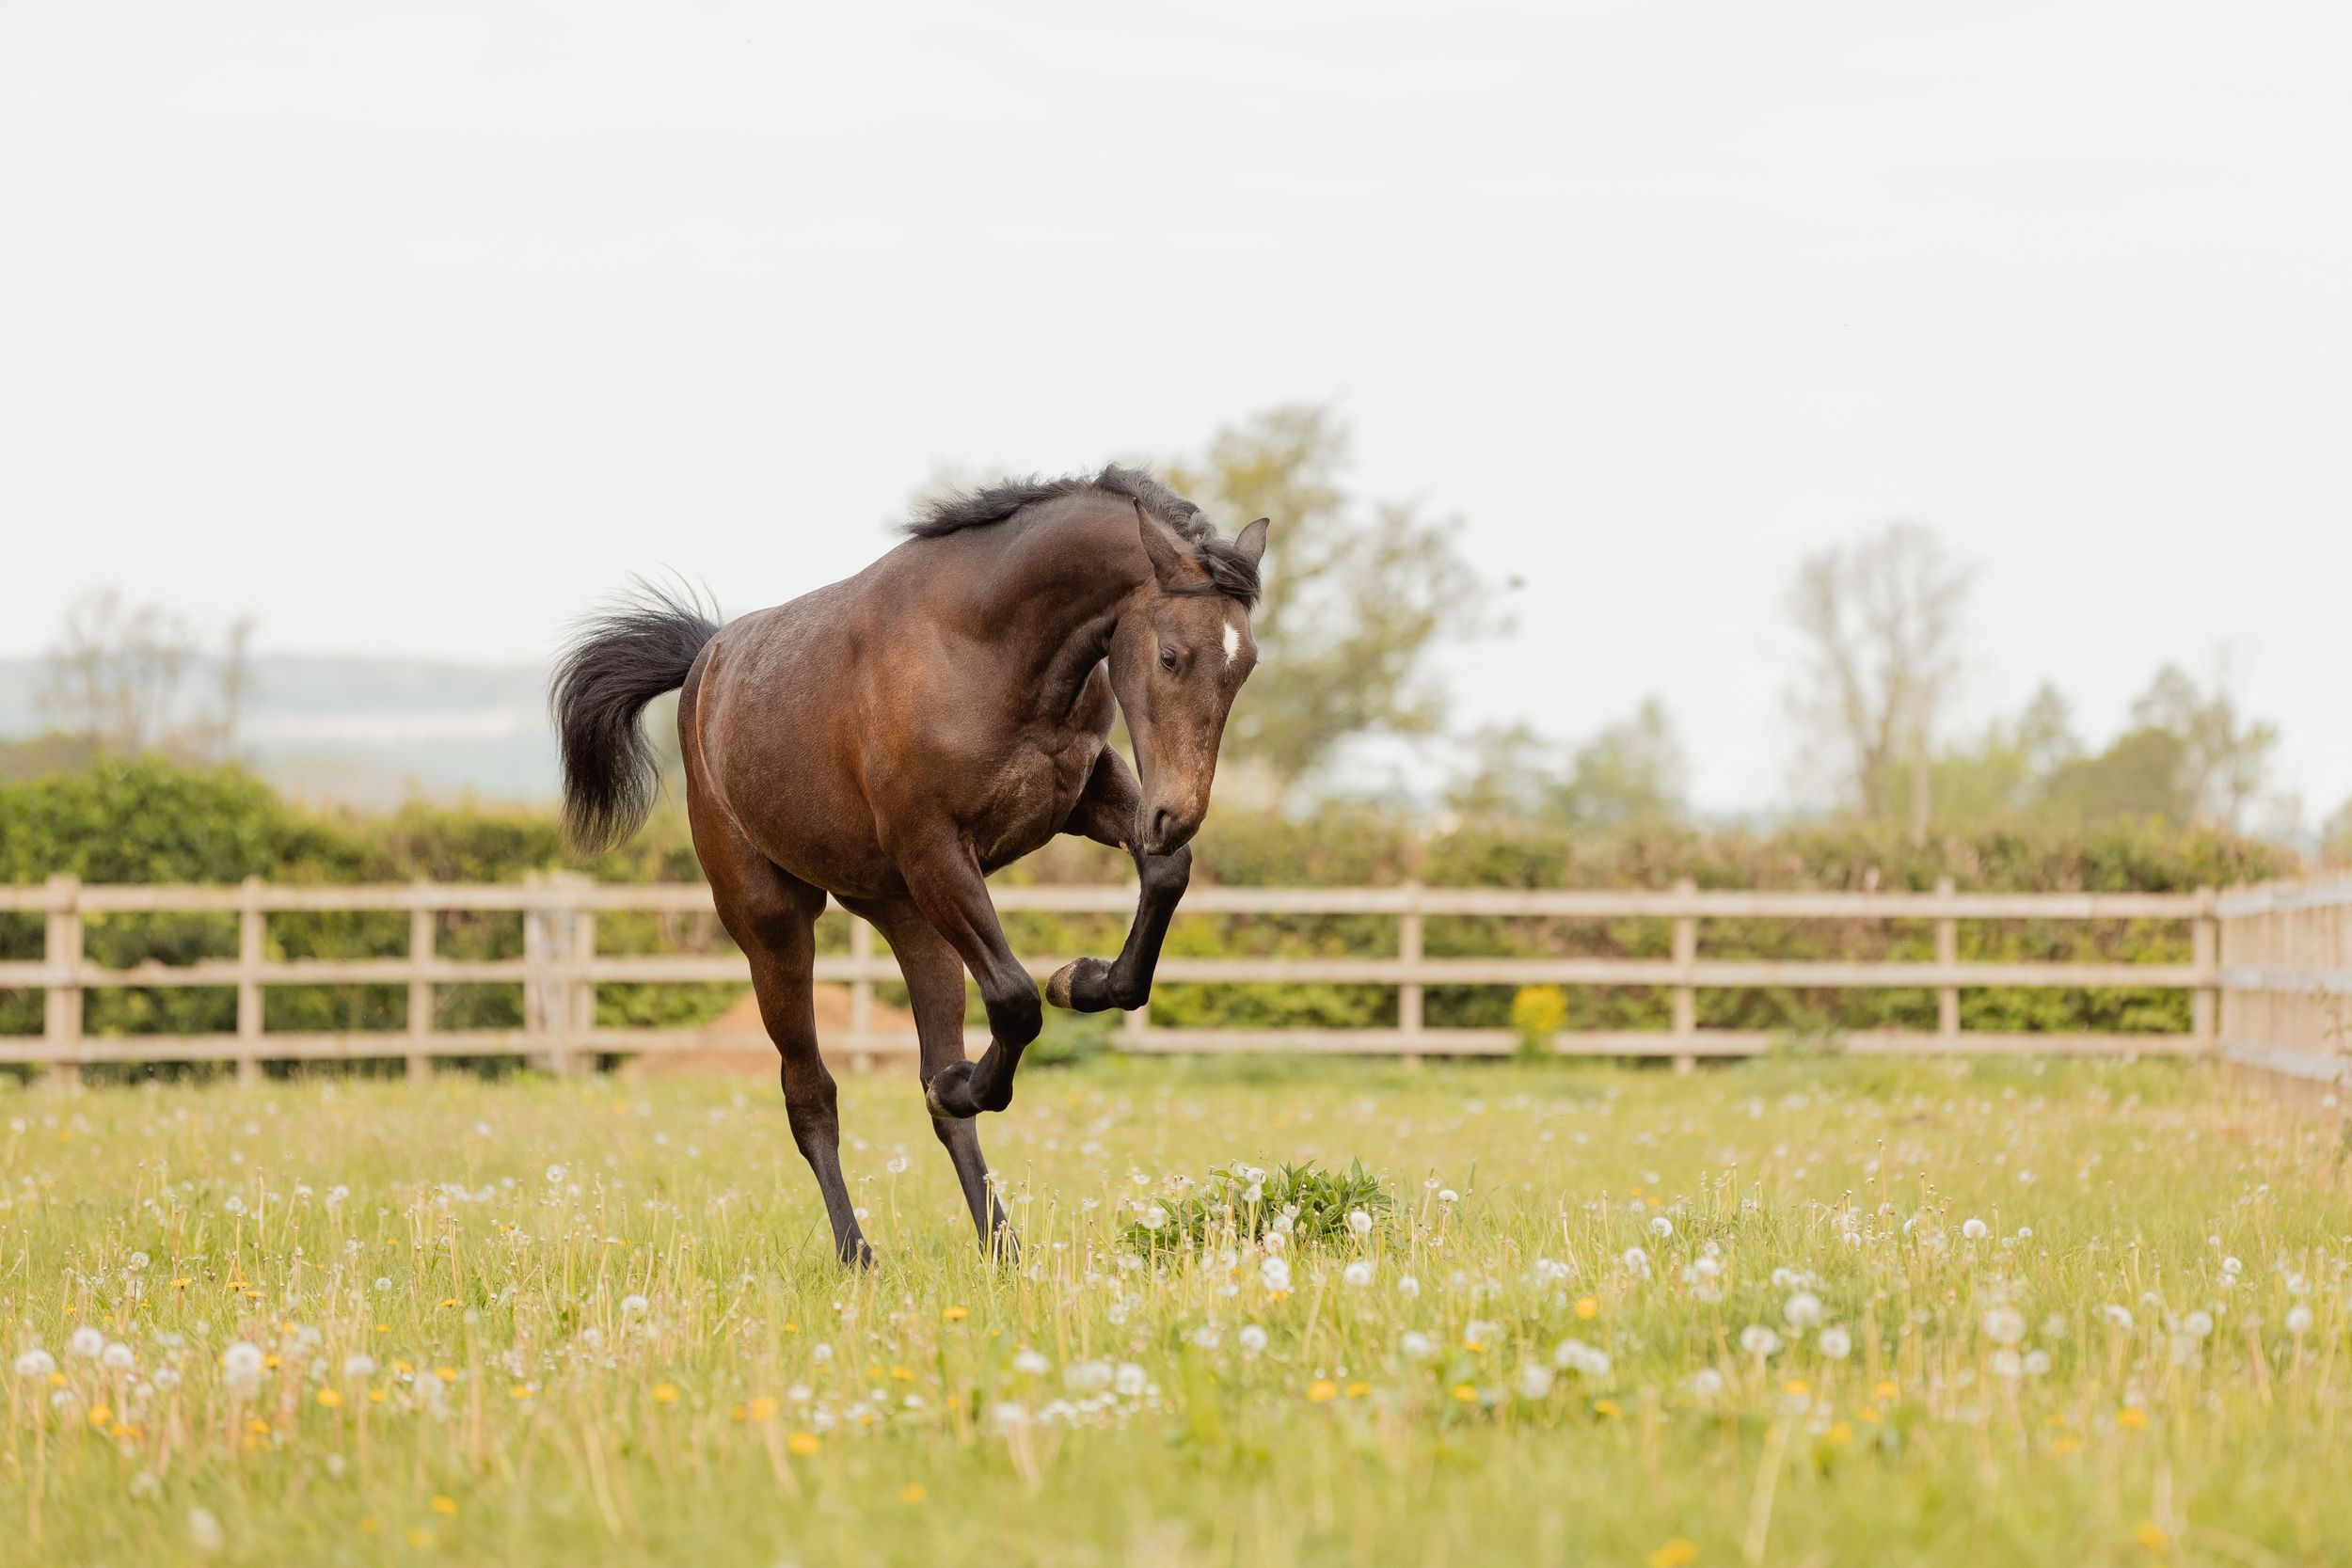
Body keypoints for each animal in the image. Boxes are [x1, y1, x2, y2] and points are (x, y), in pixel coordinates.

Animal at [550, 466, 1268, 1264]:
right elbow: (1016, 998)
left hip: (911, 917)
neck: (988, 648)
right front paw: (981, 1064)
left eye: (1244, 665)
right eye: (1171, 654)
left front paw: (1081, 980)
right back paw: (859, 1253)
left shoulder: (1082, 794)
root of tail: (706, 664)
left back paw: (1002, 1246)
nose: (1178, 812)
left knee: (929, 1082)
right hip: (775, 924)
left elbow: (1163, 881)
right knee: (811, 1093)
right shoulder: (934, 846)